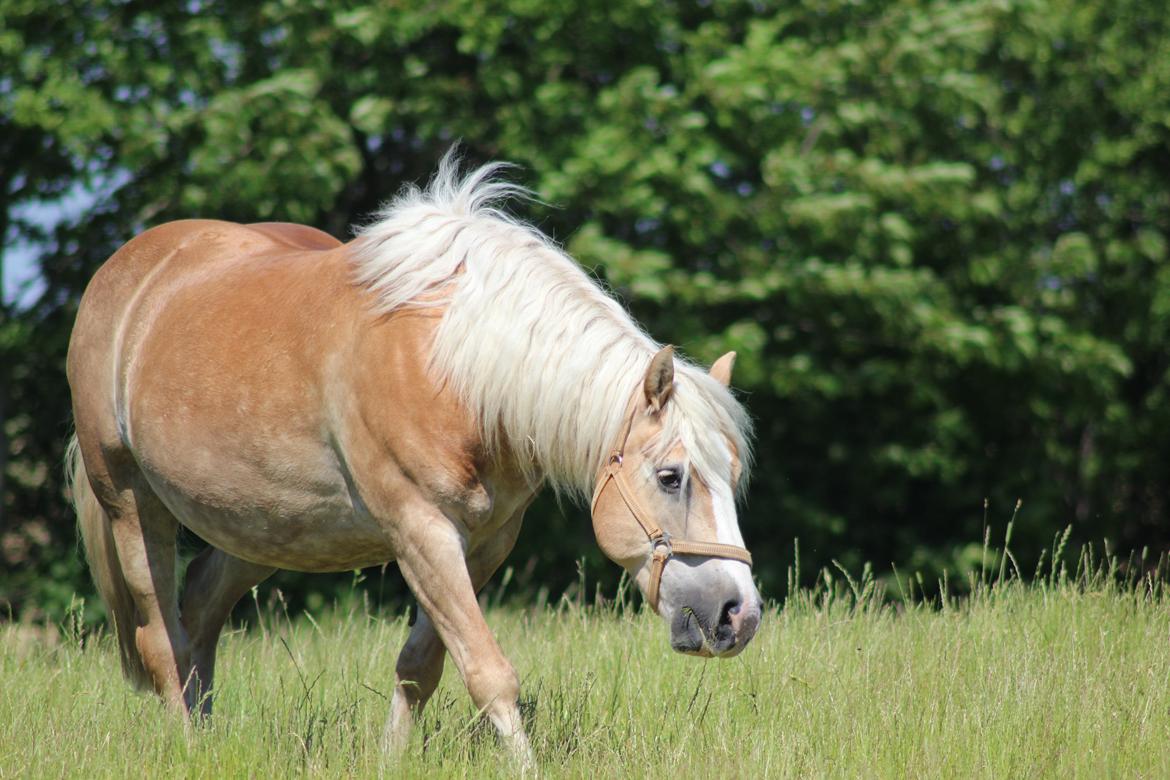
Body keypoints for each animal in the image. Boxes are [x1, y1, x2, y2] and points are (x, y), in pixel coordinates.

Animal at [64, 154, 762, 762]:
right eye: (670, 477)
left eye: (731, 478)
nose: (740, 615)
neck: (457, 365)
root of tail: (132, 272)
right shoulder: (421, 531)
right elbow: (489, 673)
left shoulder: (482, 544)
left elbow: (421, 667)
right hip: (132, 504)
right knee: (163, 639)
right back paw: (188, 746)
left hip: (259, 525)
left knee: (201, 615)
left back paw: (209, 739)